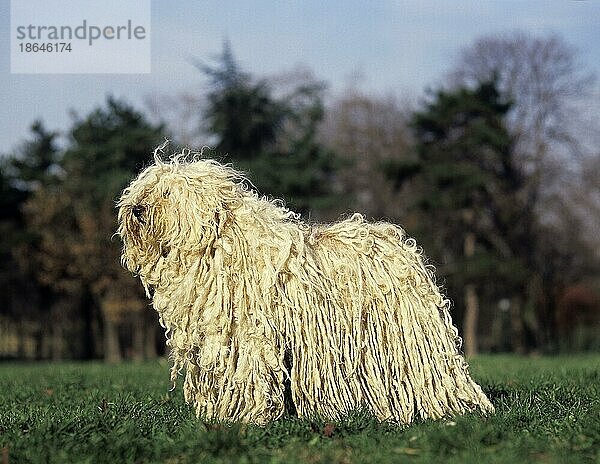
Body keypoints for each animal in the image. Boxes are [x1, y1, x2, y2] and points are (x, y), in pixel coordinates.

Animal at [116, 150, 492, 426]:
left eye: (168, 193)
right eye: (145, 189)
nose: (137, 208)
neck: (219, 244)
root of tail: (401, 246)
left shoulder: (249, 335)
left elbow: (247, 374)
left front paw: (246, 418)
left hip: (409, 339)